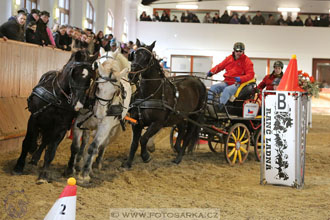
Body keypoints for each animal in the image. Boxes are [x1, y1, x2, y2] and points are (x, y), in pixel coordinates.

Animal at [12, 49, 98, 182]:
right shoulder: (34, 118)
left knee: (45, 141)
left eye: (90, 78)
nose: (79, 104)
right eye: (75, 73)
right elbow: (27, 142)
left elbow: (51, 151)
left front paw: (43, 175)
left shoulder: (61, 127)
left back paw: (35, 158)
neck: (57, 97)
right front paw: (18, 167)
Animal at [64, 48, 131, 182]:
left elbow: (93, 147)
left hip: (113, 128)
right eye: (98, 86)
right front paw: (70, 169)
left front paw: (84, 174)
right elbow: (75, 146)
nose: (100, 113)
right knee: (85, 141)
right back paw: (79, 161)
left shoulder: (105, 127)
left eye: (115, 92)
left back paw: (96, 163)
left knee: (102, 145)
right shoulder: (79, 122)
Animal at [124, 39, 206, 168]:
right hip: (180, 116)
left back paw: (178, 158)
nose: (132, 74)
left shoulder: (157, 123)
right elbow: (134, 143)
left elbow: (143, 139)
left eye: (147, 58)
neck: (149, 95)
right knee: (182, 130)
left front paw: (146, 156)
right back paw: (178, 148)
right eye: (134, 55)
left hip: (195, 116)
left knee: (188, 136)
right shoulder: (136, 123)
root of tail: (198, 80)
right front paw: (128, 163)